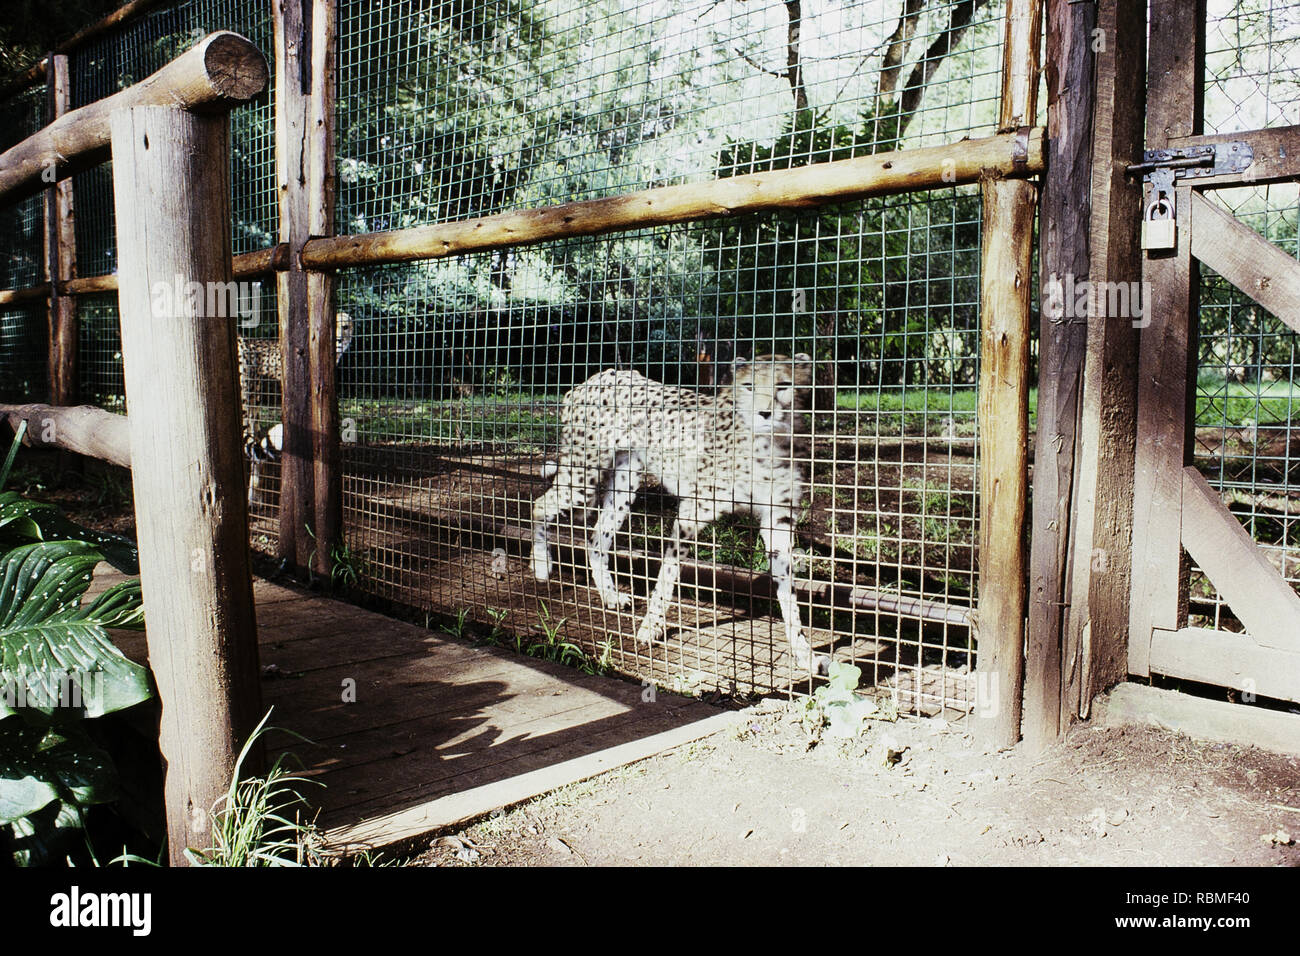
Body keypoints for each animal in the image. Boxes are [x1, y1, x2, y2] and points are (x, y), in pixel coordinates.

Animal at [525, 356, 821, 676]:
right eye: (748, 386)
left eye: (784, 384)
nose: (765, 412)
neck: (769, 443)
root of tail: (595, 378)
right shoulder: (690, 515)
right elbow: (667, 576)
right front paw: (649, 628)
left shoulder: (778, 522)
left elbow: (789, 596)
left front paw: (804, 652)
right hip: (583, 478)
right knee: (539, 504)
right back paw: (540, 564)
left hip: (625, 483)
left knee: (595, 537)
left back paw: (610, 595)